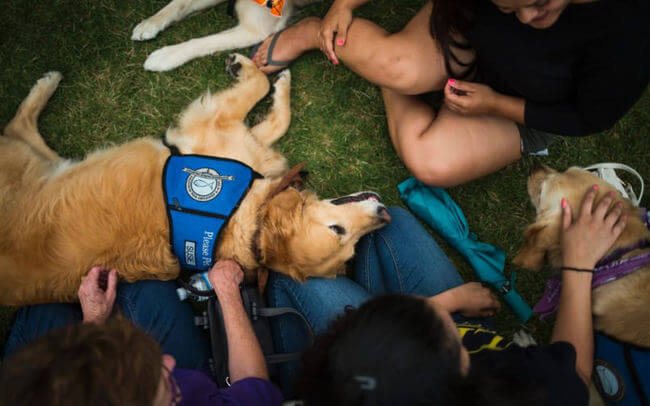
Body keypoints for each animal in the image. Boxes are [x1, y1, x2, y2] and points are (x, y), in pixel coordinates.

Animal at [0, 55, 390, 306]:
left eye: (352, 247)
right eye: (338, 231)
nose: (386, 214)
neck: (245, 220)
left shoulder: (219, 131)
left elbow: (265, 97)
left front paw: (255, 72)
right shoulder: (226, 136)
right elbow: (272, 107)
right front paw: (265, 77)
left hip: (31, 159)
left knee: (17, 124)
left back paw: (47, 81)